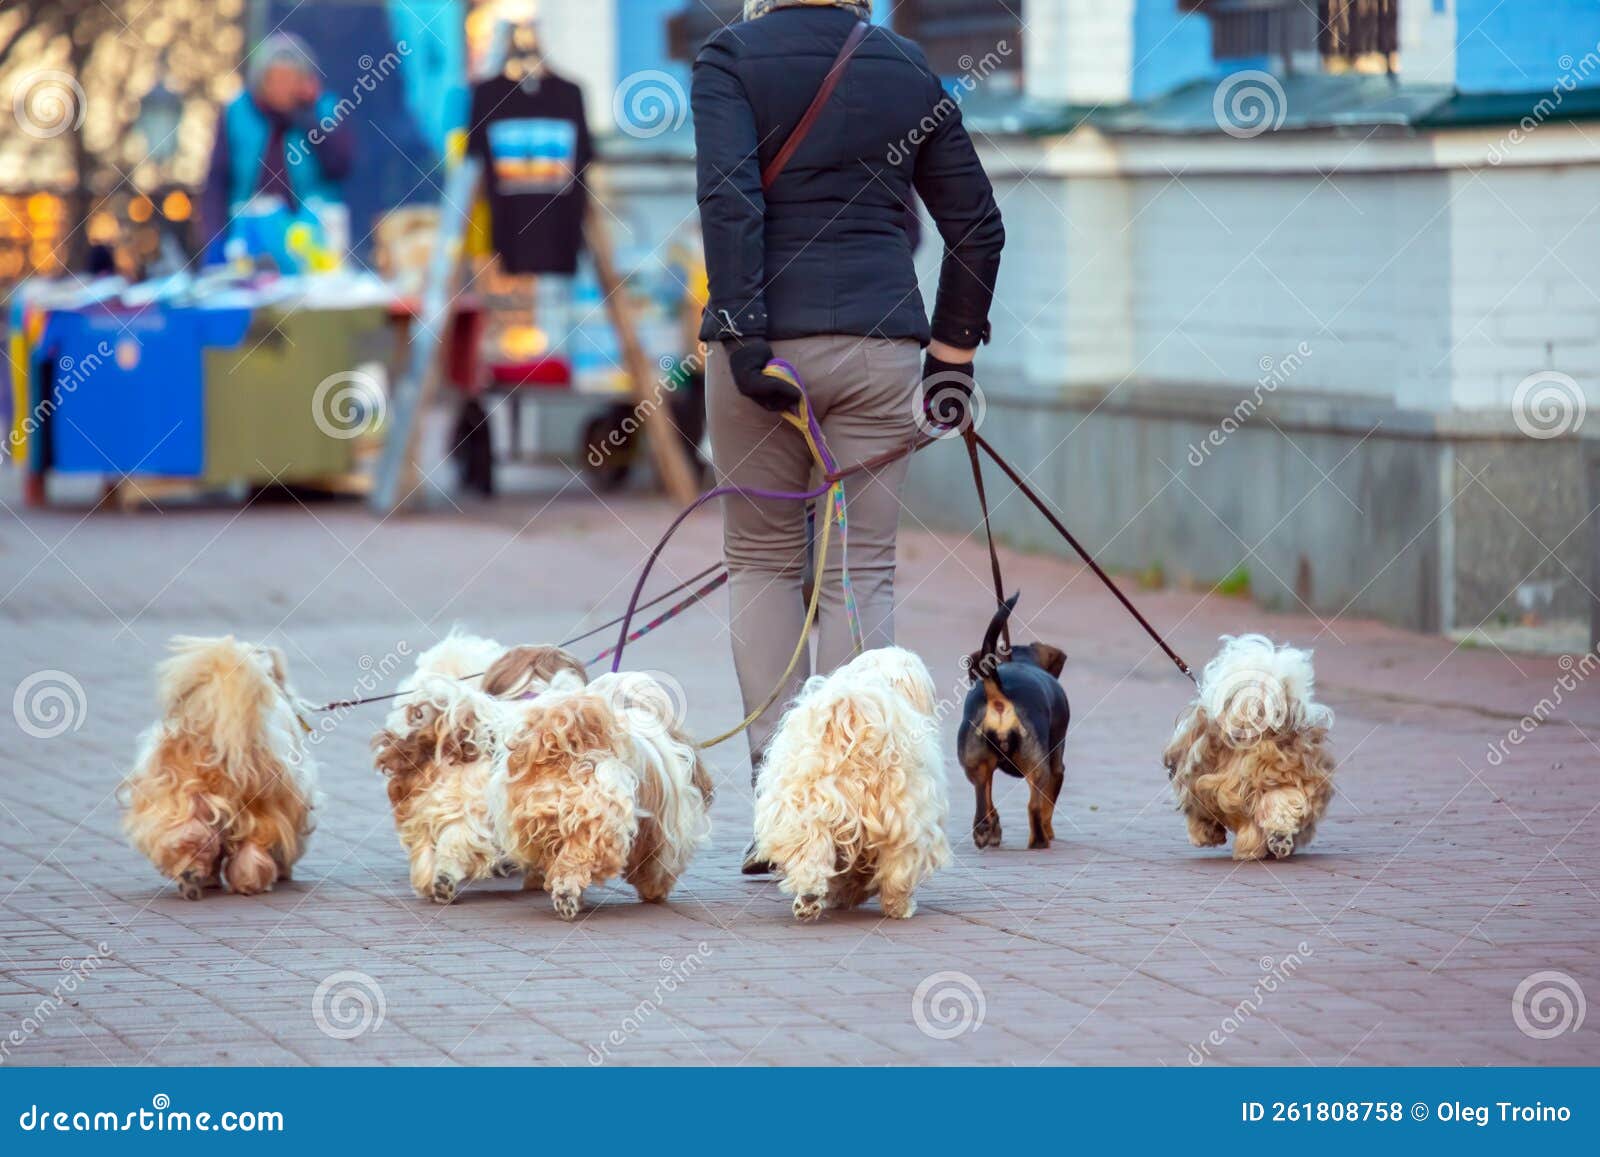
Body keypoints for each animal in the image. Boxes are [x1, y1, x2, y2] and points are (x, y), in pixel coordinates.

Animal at [120, 636, 318, 902]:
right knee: (254, 843)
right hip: (263, 802)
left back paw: (195, 876)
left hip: (183, 798)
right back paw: (247, 880)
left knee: (189, 835)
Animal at [486, 668, 713, 921]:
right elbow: (657, 865)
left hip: (538, 815)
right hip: (597, 816)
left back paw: (564, 896)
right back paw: (567, 895)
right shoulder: (666, 834)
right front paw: (654, 891)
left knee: (563, 859)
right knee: (579, 856)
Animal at [752, 643, 947, 921]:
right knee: (899, 863)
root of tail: (851, 710)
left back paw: (809, 897)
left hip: (804, 806)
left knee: (809, 852)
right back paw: (899, 906)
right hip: (902, 814)